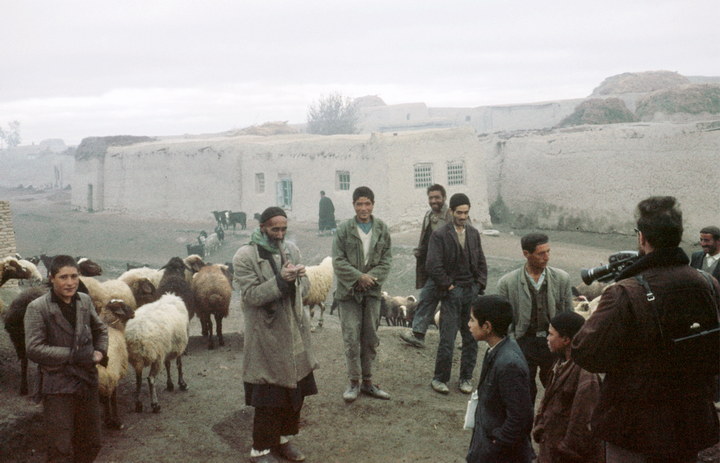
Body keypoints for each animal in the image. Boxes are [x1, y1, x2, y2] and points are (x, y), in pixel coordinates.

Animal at [97, 299, 135, 429]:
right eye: (124, 307)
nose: (134, 313)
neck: (111, 326)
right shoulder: (114, 375)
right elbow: (113, 399)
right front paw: (115, 420)